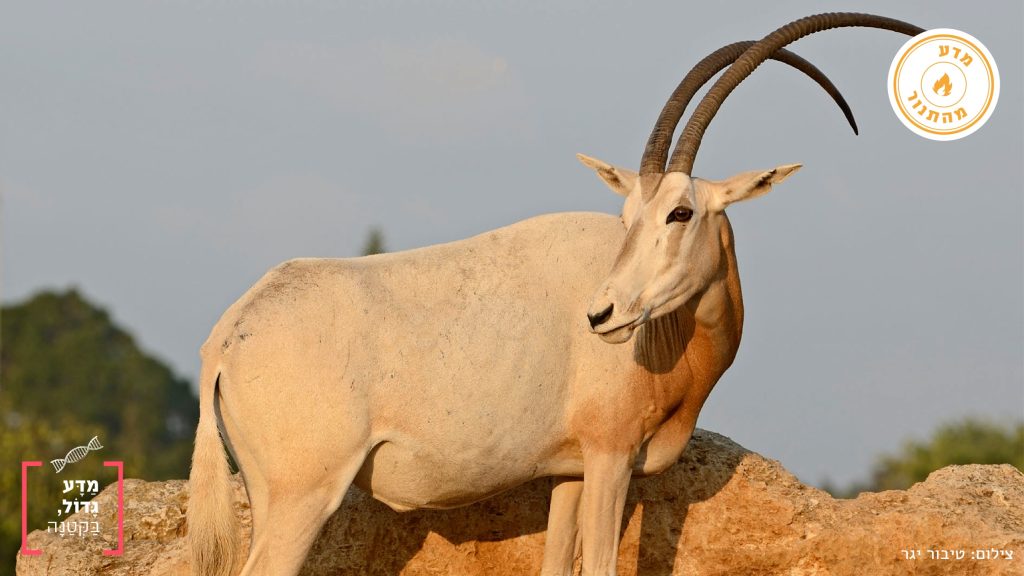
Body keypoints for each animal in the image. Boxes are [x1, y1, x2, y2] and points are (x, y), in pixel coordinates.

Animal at [188, 13, 923, 576]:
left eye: (678, 212)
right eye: (630, 215)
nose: (602, 315)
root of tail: (229, 333)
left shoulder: (568, 474)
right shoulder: (609, 458)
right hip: (303, 495)